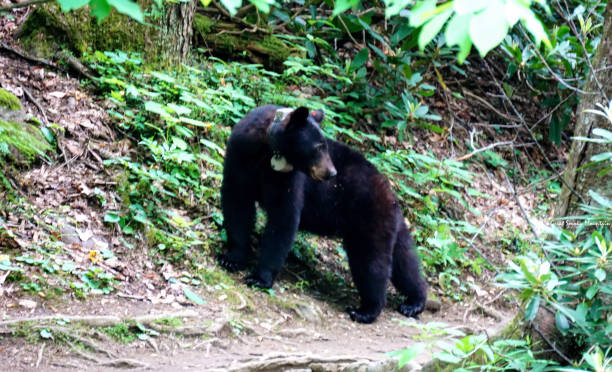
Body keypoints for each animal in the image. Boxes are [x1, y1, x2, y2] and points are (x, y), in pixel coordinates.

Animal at [219, 104, 426, 322]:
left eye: (325, 145)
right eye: (318, 147)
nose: (332, 173)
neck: (266, 151)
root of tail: (391, 192)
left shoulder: (288, 179)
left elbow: (283, 219)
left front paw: (259, 278)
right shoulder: (239, 156)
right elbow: (237, 203)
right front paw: (232, 258)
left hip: (369, 216)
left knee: (371, 261)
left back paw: (367, 310)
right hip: (388, 222)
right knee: (405, 260)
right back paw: (414, 302)